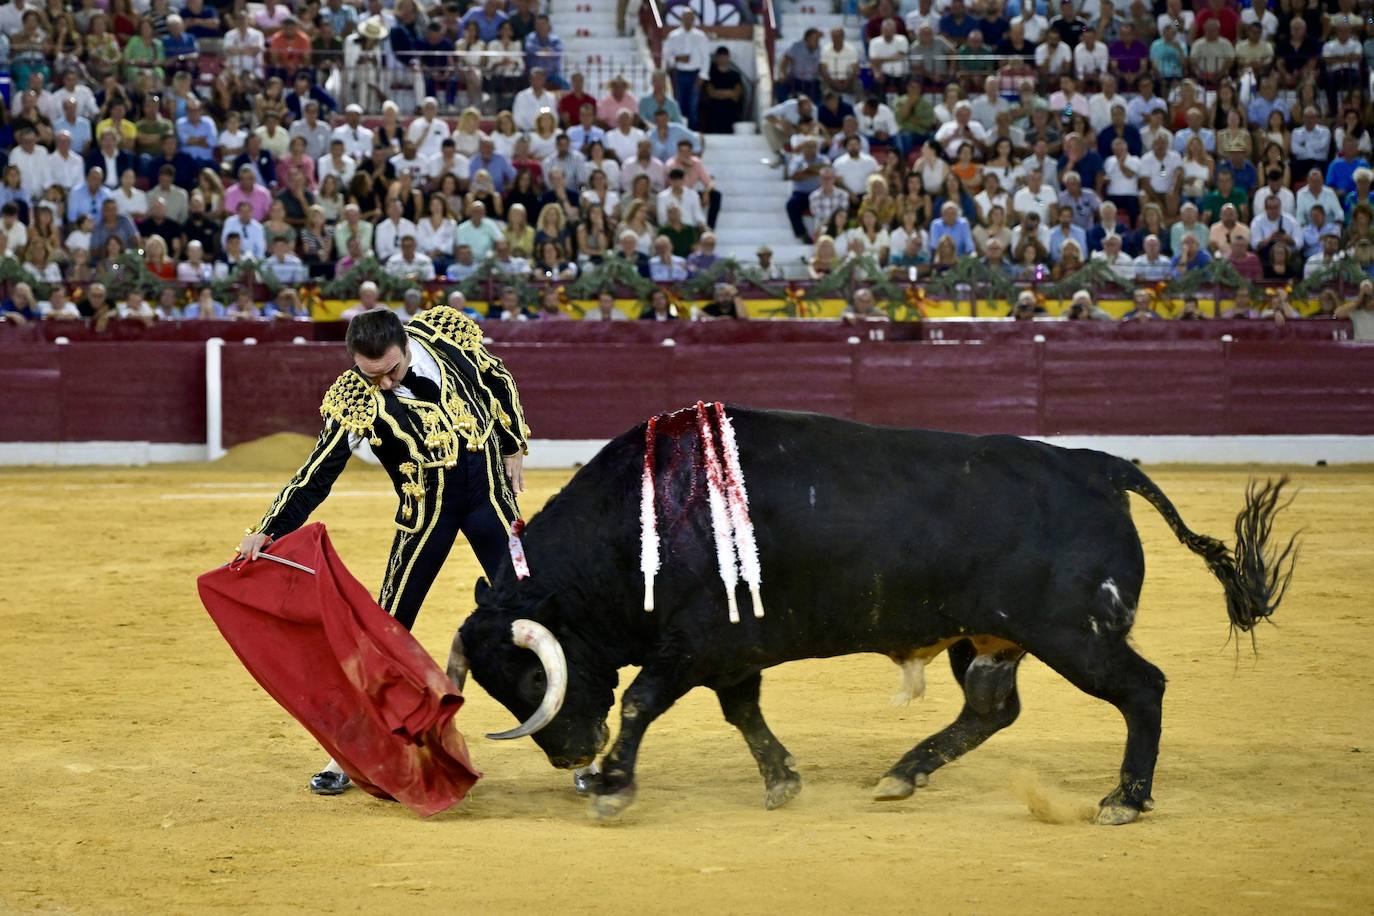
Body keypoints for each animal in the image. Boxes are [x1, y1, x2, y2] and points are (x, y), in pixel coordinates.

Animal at [450, 409, 1297, 823]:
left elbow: (640, 701)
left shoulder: (693, 645)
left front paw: (613, 787)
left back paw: (1124, 800)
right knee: (992, 709)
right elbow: (742, 713)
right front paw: (782, 781)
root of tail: (1099, 465)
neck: (650, 517)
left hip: (1076, 635)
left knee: (1142, 690)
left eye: (532, 672)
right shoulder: (731, 653)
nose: (570, 756)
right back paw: (900, 776)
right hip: (991, 636)